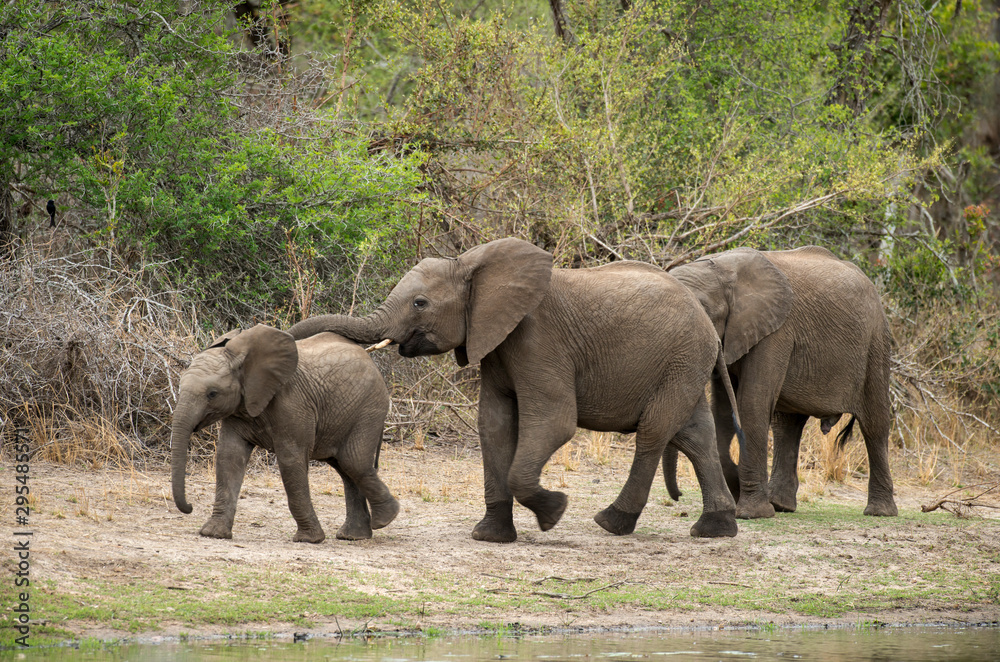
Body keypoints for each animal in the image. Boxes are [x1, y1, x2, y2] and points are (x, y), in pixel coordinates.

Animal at [171, 322, 398, 544]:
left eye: (212, 394)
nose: (189, 507)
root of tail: (367, 357)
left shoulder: (293, 402)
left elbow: (290, 459)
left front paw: (308, 539)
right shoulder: (238, 408)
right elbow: (229, 457)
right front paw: (213, 533)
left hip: (369, 408)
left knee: (354, 461)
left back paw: (386, 518)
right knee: (345, 467)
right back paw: (354, 535)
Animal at [286, 241, 740, 544]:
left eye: (419, 303)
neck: (474, 264)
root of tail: (704, 317)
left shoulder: (538, 338)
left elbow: (555, 422)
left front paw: (554, 512)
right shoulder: (497, 341)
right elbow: (494, 424)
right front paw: (490, 535)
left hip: (681, 357)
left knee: (654, 432)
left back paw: (611, 523)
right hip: (683, 363)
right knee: (694, 434)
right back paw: (715, 529)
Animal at [664, 246, 900, 520]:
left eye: (702, 311)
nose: (679, 496)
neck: (721, 270)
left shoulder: (775, 332)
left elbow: (751, 403)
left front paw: (751, 513)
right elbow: (722, 410)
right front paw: (738, 490)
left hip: (876, 342)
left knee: (874, 423)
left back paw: (880, 512)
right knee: (787, 425)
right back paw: (780, 505)